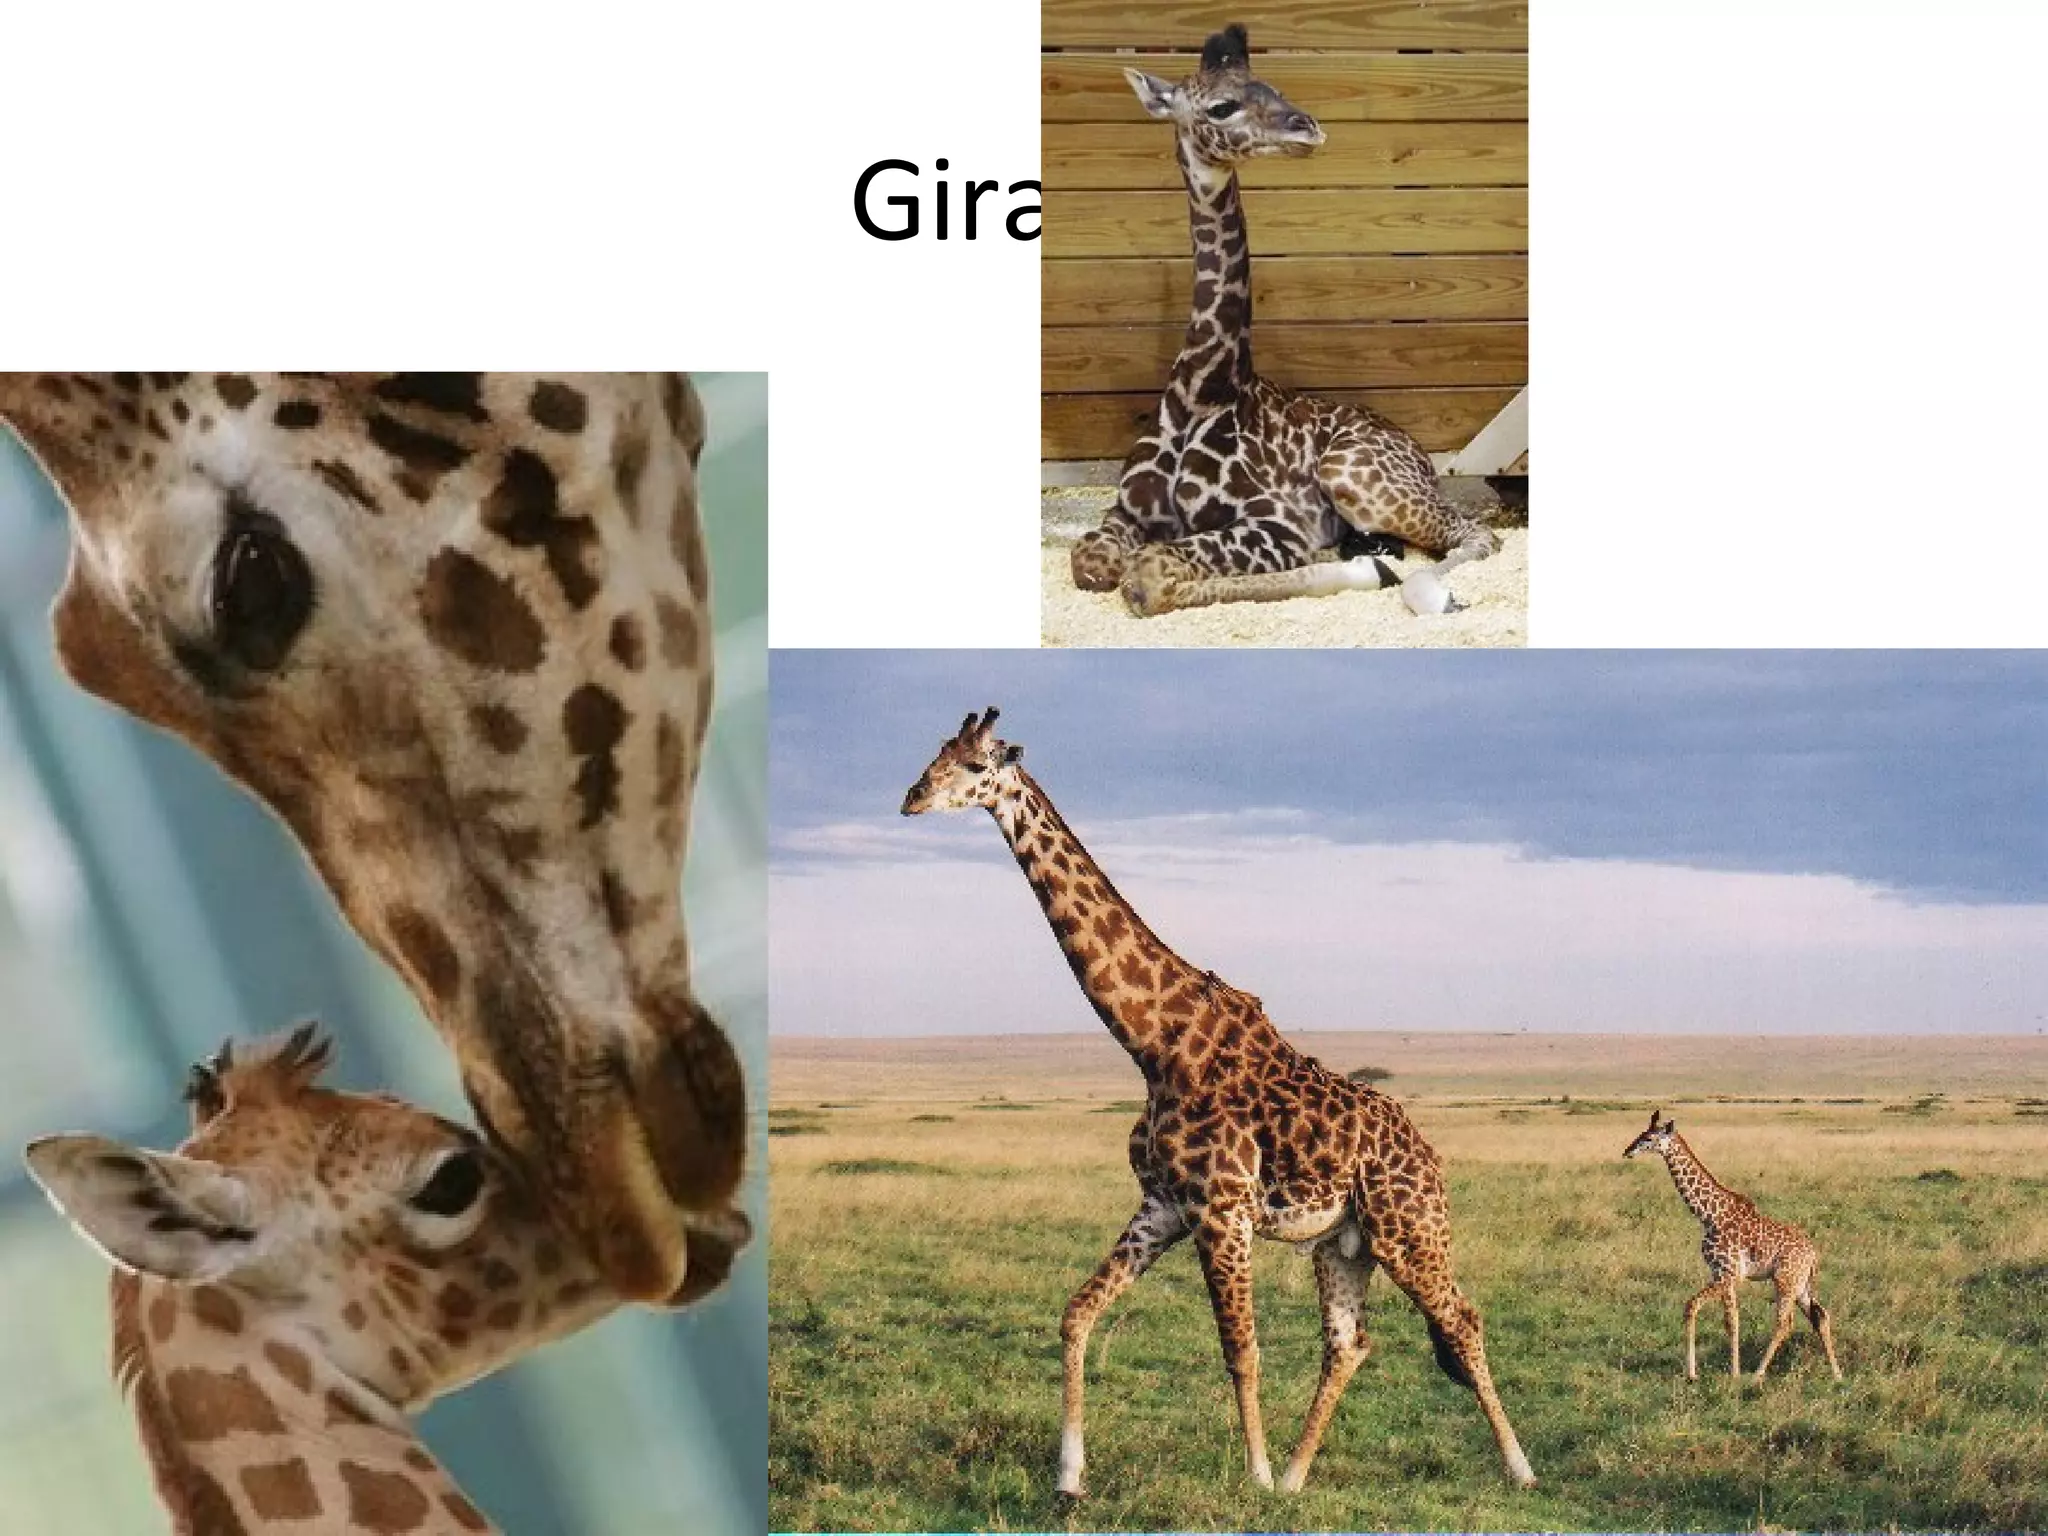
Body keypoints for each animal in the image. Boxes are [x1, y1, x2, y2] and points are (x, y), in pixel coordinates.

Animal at [900, 709, 1535, 1496]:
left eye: (973, 765)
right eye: (937, 753)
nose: (912, 798)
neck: (1154, 1044)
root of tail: (1430, 1155)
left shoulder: (1220, 1209)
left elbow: (1241, 1349)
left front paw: (1253, 1476)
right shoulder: (1163, 1206)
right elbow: (1076, 1314)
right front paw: (1070, 1476)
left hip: (1408, 1230)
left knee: (1462, 1320)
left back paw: (1518, 1469)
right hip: (1343, 1245)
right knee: (1350, 1342)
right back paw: (1297, 1478)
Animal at [1068, 25, 1499, 620]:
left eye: (1273, 88)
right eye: (1222, 106)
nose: (1308, 127)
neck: (1201, 391)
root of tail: (1415, 448)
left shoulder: (1279, 525)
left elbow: (1149, 577)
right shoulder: (1126, 512)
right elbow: (1089, 562)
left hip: (1354, 476)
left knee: (1479, 535)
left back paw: (1417, 586)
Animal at [1623, 1110, 1843, 1382]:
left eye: (1650, 1137)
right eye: (1642, 1133)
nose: (1628, 1151)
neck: (1709, 1215)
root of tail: (1813, 1254)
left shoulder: (1728, 1274)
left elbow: (1705, 1311)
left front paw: (1725, 1373)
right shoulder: (1719, 1273)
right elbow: (1727, 1318)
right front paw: (1709, 1371)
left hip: (1784, 1280)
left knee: (1784, 1322)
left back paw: (1757, 1374)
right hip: (1800, 1284)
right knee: (1820, 1316)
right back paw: (1837, 1374)